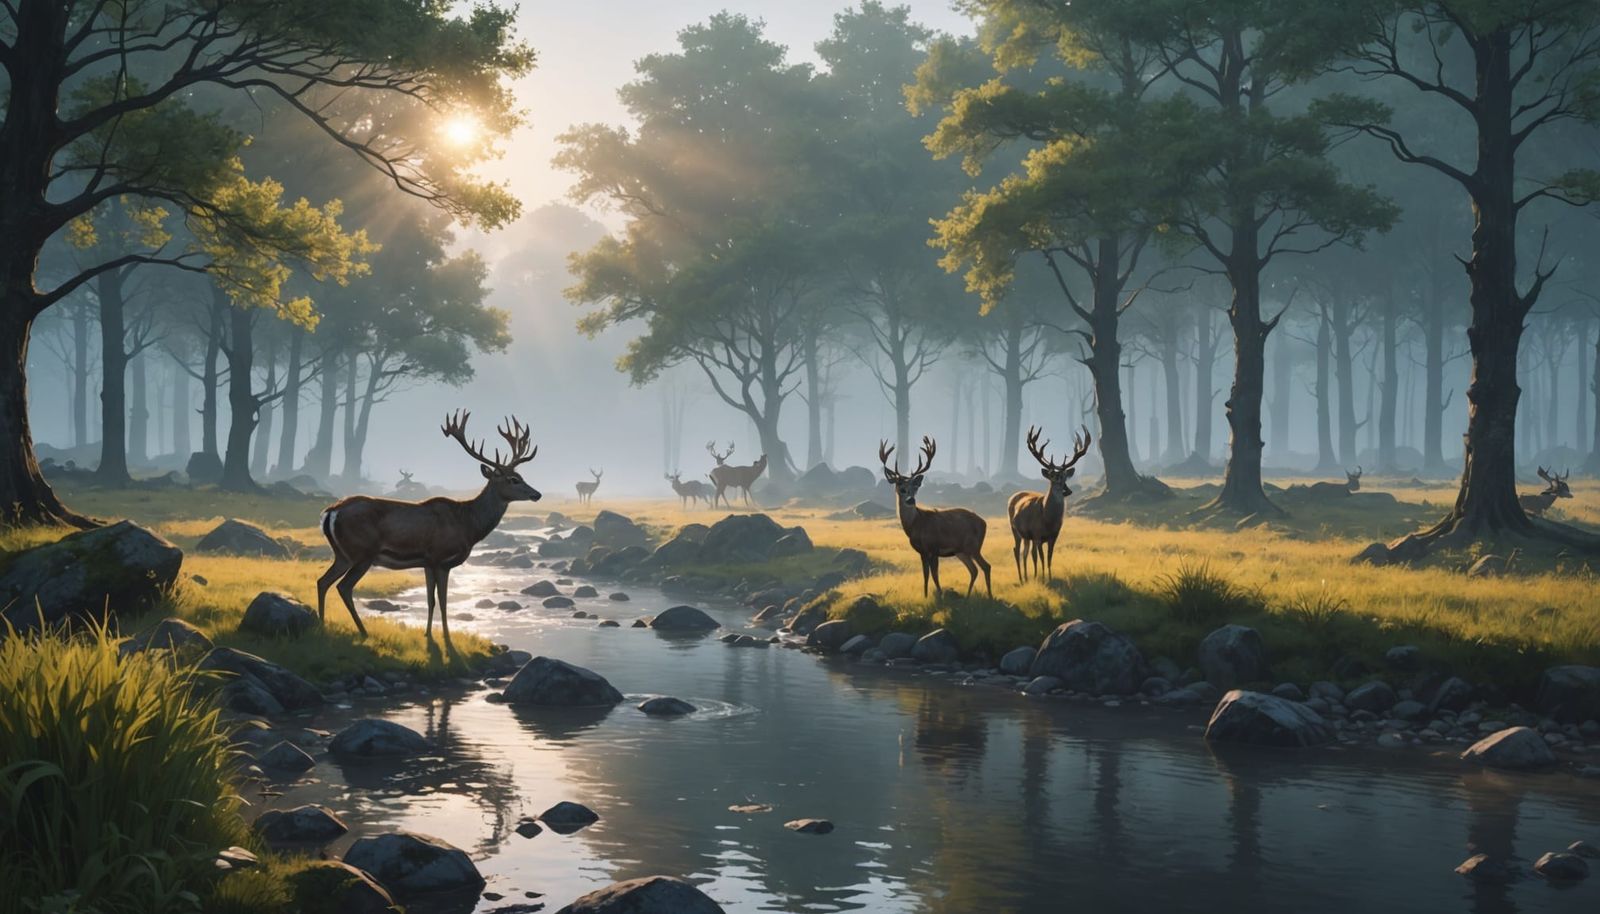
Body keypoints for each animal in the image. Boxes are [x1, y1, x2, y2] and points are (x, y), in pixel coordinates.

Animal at [317, 410, 541, 650]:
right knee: (343, 587)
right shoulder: (440, 558)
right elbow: (441, 600)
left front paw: (428, 634)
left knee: (323, 581)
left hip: (343, 554)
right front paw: (447, 638)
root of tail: (331, 511)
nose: (537, 494)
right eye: (513, 479)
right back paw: (362, 630)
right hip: (362, 553)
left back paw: (322, 624)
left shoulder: (426, 562)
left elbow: (429, 599)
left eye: (521, 476)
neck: (468, 525)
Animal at [879, 436, 992, 598]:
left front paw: (940, 594)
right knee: (974, 570)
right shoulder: (922, 551)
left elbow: (935, 574)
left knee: (986, 566)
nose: (911, 500)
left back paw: (989, 595)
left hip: (973, 546)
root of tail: (984, 523)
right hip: (961, 551)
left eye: (915, 488)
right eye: (902, 489)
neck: (916, 525)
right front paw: (926, 596)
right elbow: (925, 575)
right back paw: (968, 596)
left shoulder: (934, 547)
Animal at [1007, 425, 1092, 583]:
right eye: (1052, 476)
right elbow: (1041, 558)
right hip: (1014, 528)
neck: (1048, 520)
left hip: (1027, 536)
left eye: (1064, 476)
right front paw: (1043, 578)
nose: (1066, 490)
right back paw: (1022, 579)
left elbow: (1049, 558)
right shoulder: (1038, 534)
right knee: (1017, 550)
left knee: (1026, 552)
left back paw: (1028, 577)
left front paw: (1049, 577)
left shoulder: (1054, 536)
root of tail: (1012, 496)